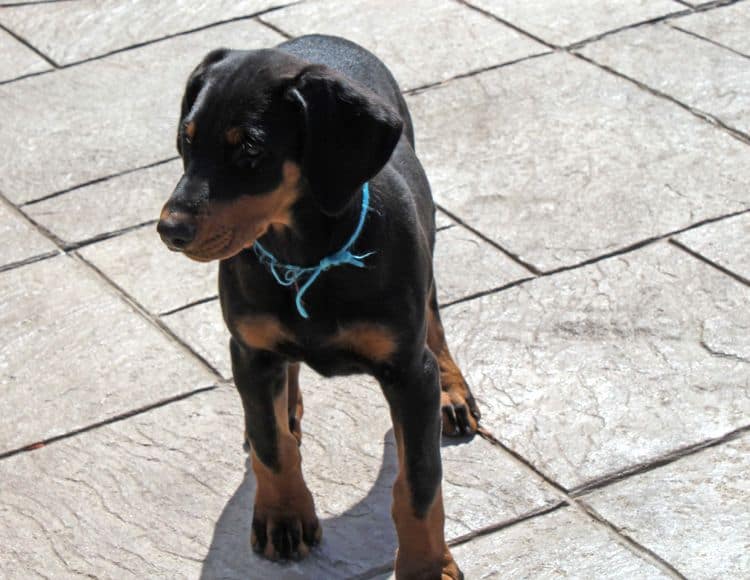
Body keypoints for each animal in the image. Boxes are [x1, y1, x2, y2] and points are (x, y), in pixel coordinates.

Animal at [158, 35, 482, 580]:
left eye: (250, 148)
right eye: (186, 139)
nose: (170, 230)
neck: (306, 255)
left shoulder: (406, 371)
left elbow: (419, 480)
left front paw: (425, 565)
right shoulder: (248, 349)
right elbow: (271, 446)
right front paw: (282, 515)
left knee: (434, 319)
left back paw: (451, 391)